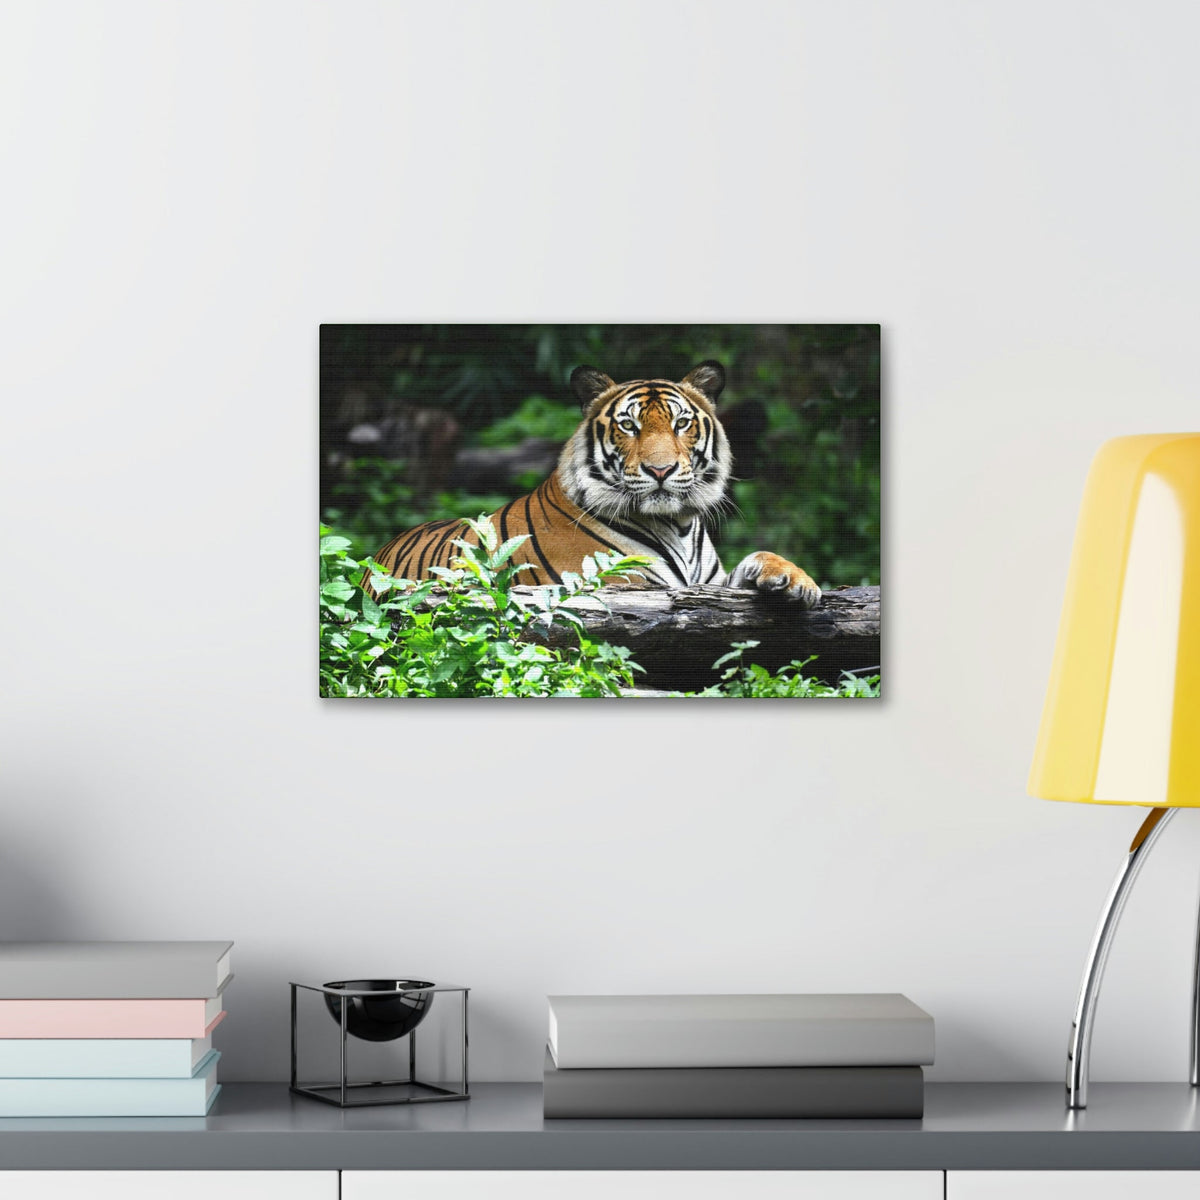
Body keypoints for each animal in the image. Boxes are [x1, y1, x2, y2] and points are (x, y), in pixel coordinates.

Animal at [368, 361, 821, 607]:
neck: (678, 525)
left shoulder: (708, 586)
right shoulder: (619, 585)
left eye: (680, 423)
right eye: (629, 426)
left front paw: (797, 581)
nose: (661, 470)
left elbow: (757, 558)